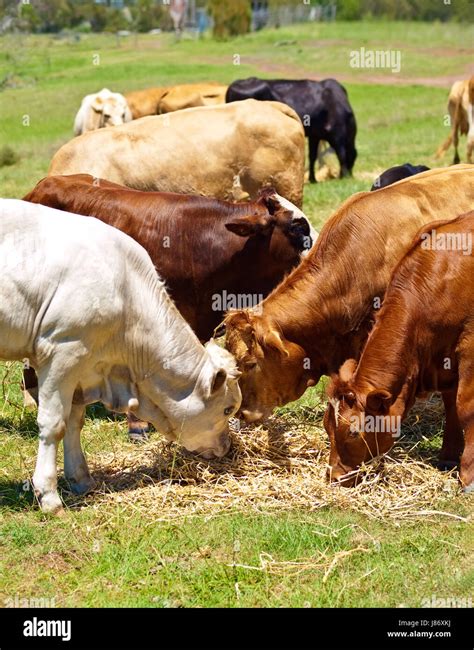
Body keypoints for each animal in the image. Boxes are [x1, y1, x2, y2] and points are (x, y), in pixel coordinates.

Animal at [0, 199, 242, 513]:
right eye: (227, 409)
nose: (227, 447)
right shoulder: (62, 352)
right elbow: (54, 423)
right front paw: (49, 496)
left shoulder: (84, 367)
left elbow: (75, 421)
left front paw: (81, 480)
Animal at [226, 77, 357, 183]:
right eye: (354, 157)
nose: (351, 176)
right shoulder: (338, 134)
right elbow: (341, 154)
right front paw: (343, 176)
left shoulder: (315, 135)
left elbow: (313, 156)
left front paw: (312, 179)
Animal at [326, 211, 474, 492]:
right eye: (326, 425)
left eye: (353, 432)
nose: (335, 478)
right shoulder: (443, 361)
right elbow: (451, 405)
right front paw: (448, 458)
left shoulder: (469, 352)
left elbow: (465, 408)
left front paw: (468, 476)